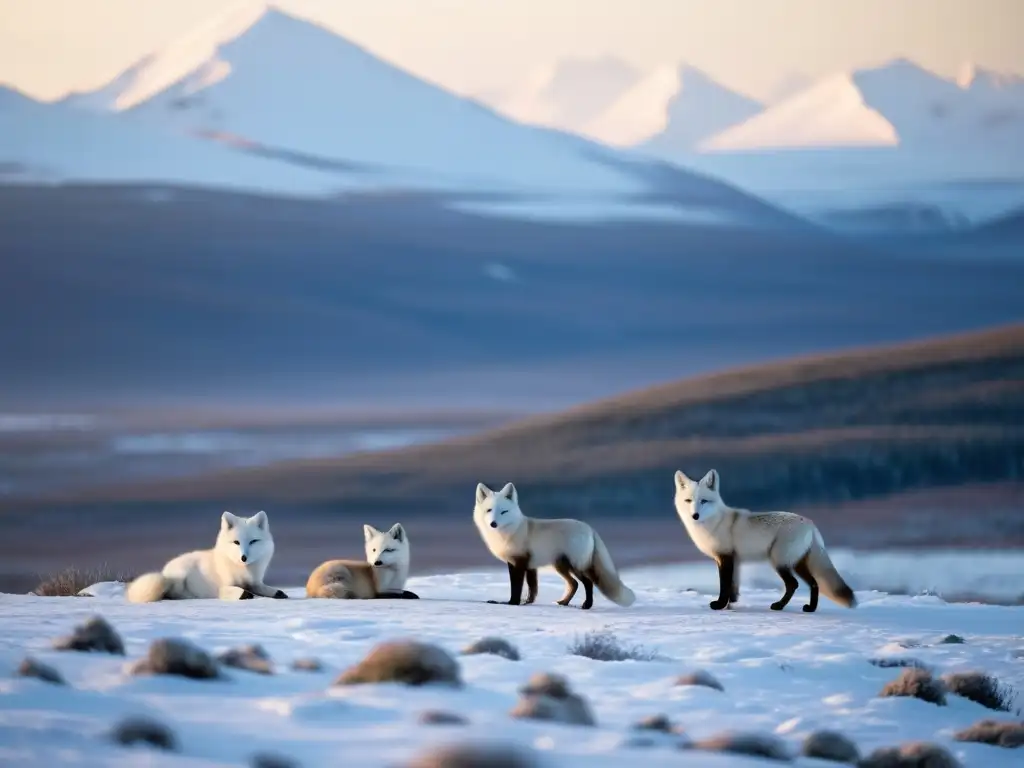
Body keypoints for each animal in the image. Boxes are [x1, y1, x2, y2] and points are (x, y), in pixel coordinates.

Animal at [127, 514, 290, 606]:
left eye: (253, 541)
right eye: (236, 542)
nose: (243, 557)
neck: (243, 570)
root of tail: (164, 573)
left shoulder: (255, 582)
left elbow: (268, 590)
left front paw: (278, 593)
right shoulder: (225, 585)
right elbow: (243, 593)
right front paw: (247, 594)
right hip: (180, 577)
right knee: (173, 594)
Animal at [471, 483, 630, 610]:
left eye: (504, 511)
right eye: (489, 510)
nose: (493, 524)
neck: (511, 532)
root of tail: (590, 528)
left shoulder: (520, 562)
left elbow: (516, 587)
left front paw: (512, 603)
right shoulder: (526, 565)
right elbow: (532, 589)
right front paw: (527, 602)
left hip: (574, 565)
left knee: (587, 582)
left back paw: (586, 605)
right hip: (560, 566)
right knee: (574, 584)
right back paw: (564, 602)